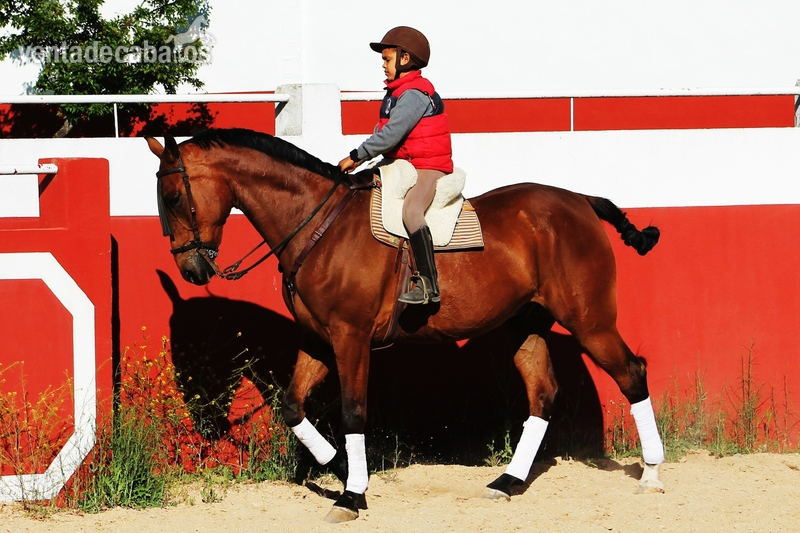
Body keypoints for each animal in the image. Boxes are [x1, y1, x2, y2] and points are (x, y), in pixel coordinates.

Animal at [146, 128, 666, 523]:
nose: (191, 270)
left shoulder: (350, 338)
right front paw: (338, 466)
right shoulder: (318, 339)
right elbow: (293, 407)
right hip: (527, 323)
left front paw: (352, 495)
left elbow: (354, 413)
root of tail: (578, 200)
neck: (318, 225)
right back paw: (507, 482)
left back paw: (651, 474)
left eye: (172, 198)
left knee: (632, 374)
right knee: (543, 394)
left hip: (590, 321)